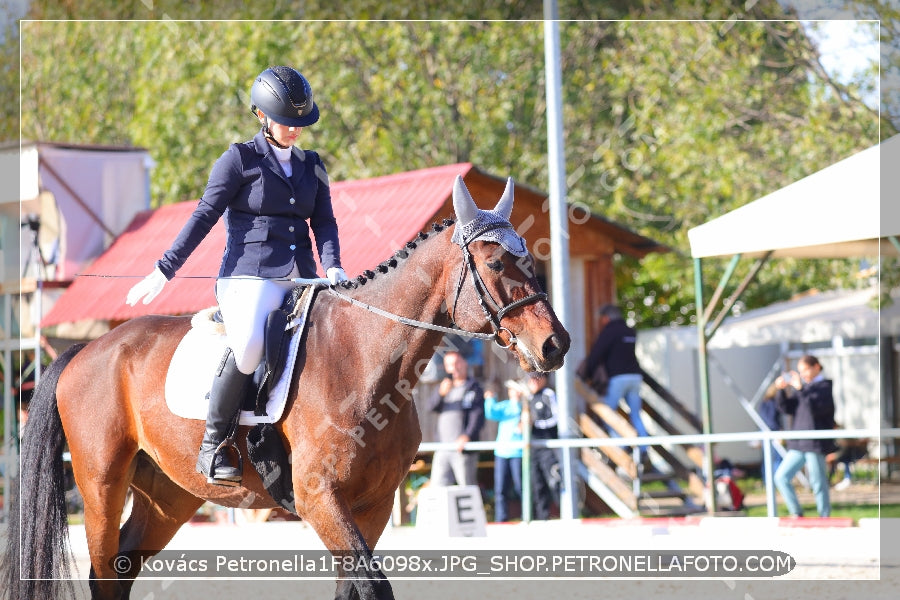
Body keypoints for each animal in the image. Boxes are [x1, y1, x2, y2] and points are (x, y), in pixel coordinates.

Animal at [3, 177, 568, 600]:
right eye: (495, 264)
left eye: (531, 261)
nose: (555, 345)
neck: (365, 358)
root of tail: (90, 349)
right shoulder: (320, 499)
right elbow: (374, 587)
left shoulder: (374, 504)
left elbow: (353, 588)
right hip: (101, 483)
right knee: (103, 571)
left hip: (168, 495)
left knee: (122, 570)